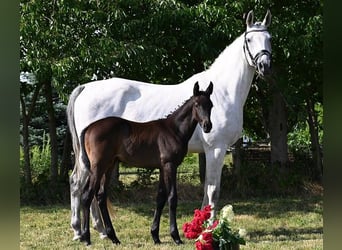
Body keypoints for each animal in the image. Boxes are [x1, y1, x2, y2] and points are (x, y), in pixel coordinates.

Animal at [68, 9, 272, 240]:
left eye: (269, 39)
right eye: (249, 39)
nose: (265, 66)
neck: (223, 92)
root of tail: (86, 87)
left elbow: (206, 189)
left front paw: (200, 226)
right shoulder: (216, 149)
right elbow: (213, 189)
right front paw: (208, 228)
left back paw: (98, 231)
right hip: (94, 159)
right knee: (79, 184)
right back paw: (82, 231)